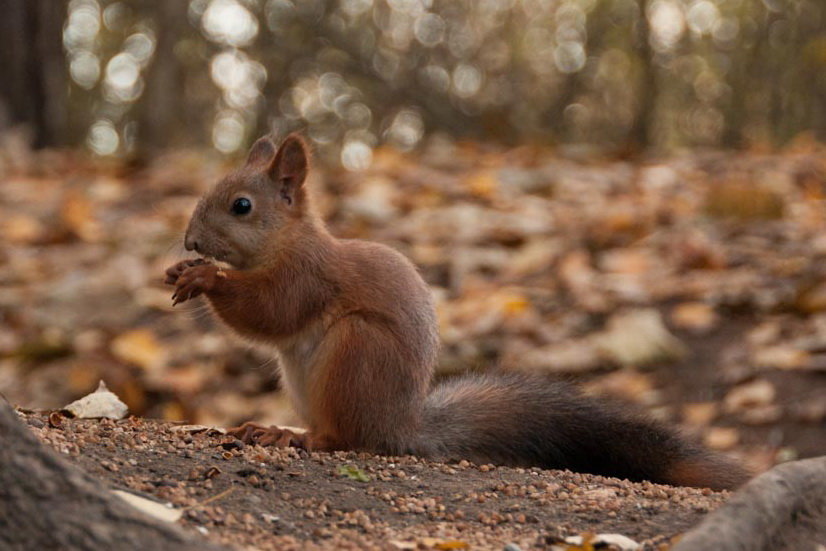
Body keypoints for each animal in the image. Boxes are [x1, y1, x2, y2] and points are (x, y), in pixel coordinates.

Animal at [164, 134, 748, 492]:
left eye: (242, 206)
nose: (190, 240)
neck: (287, 241)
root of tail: (400, 426)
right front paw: (183, 270)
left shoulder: (308, 276)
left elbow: (272, 311)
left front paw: (205, 277)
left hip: (355, 354)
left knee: (346, 440)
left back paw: (297, 437)